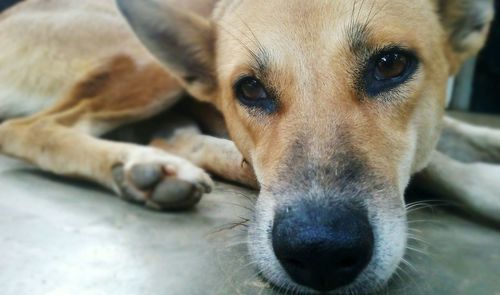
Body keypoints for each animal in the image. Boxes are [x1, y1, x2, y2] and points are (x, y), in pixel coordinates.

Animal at [0, 0, 498, 294]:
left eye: (392, 64)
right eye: (250, 89)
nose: (319, 253)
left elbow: (462, 134)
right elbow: (437, 163)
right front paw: (484, 184)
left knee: (171, 135)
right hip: (143, 61)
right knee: (27, 129)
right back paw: (142, 163)